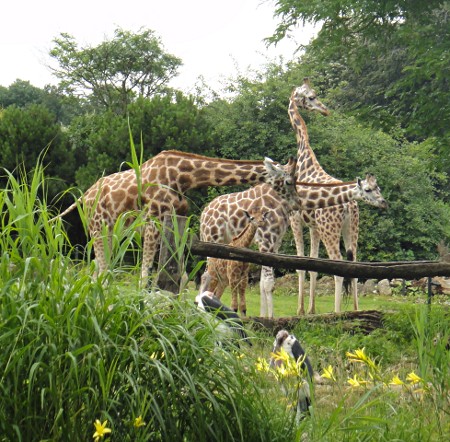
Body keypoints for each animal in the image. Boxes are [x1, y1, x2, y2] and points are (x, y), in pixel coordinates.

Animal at [50, 149, 296, 284]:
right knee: (102, 268)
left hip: (109, 229)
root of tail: (84, 196)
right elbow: (145, 273)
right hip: (98, 227)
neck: (183, 178)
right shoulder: (152, 222)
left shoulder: (175, 223)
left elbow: (183, 277)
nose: (294, 205)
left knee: (99, 268)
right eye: (288, 181)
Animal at [200, 166, 386, 318]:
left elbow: (264, 282)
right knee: (207, 275)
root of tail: (204, 213)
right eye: (368, 189)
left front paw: (264, 315)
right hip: (212, 238)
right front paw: (270, 317)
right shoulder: (267, 238)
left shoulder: (274, 241)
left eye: (379, 188)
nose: (384, 202)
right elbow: (268, 282)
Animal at [290, 78, 388, 314]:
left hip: (331, 229)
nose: (325, 110)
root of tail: (348, 205)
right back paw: (355, 310)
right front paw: (311, 310)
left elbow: (301, 264)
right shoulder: (314, 227)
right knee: (354, 265)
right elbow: (313, 265)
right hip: (352, 228)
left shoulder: (296, 220)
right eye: (312, 96)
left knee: (338, 266)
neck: (305, 159)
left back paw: (337, 312)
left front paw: (300, 311)